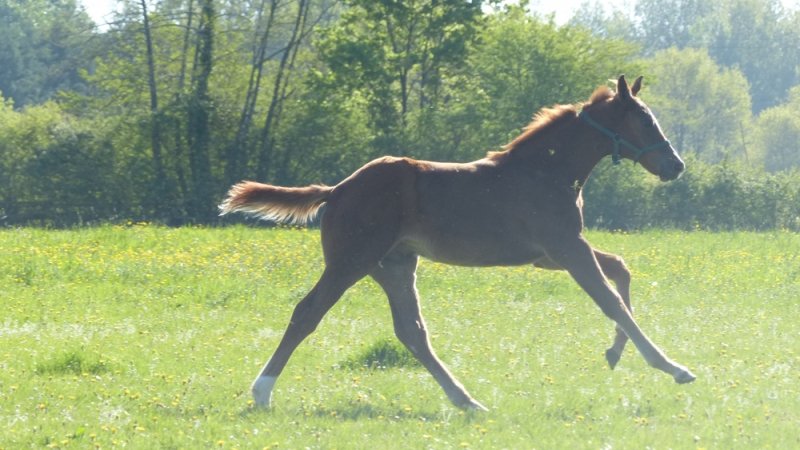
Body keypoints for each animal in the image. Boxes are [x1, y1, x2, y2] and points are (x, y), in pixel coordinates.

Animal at [219, 75, 696, 411]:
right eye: (645, 120)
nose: (675, 165)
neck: (545, 171)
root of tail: (336, 190)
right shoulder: (565, 248)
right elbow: (609, 299)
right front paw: (671, 366)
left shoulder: (551, 255)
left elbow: (620, 269)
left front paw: (615, 353)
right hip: (351, 261)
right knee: (308, 313)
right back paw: (262, 392)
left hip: (394, 265)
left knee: (411, 331)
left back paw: (467, 401)